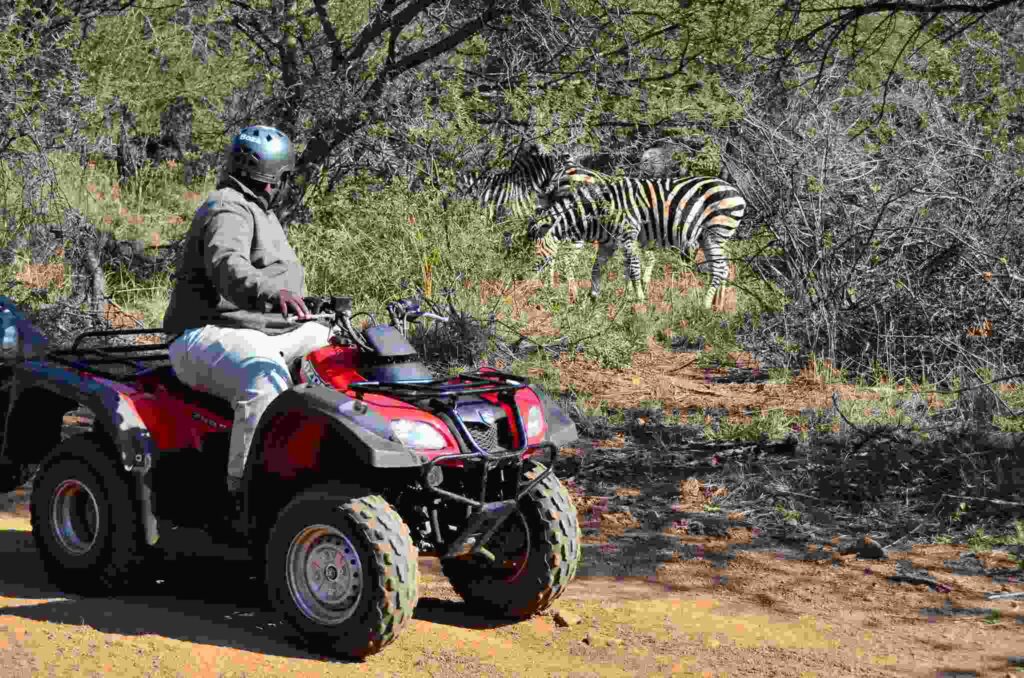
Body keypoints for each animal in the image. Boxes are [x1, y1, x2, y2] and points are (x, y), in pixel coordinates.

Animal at [528, 160, 745, 309]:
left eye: (538, 253)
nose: (528, 282)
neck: (599, 210)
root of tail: (734, 190)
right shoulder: (610, 242)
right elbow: (598, 269)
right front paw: (594, 298)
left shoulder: (628, 234)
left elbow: (633, 268)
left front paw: (639, 300)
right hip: (710, 238)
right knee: (723, 267)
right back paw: (718, 305)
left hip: (715, 233)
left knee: (719, 268)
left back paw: (706, 305)